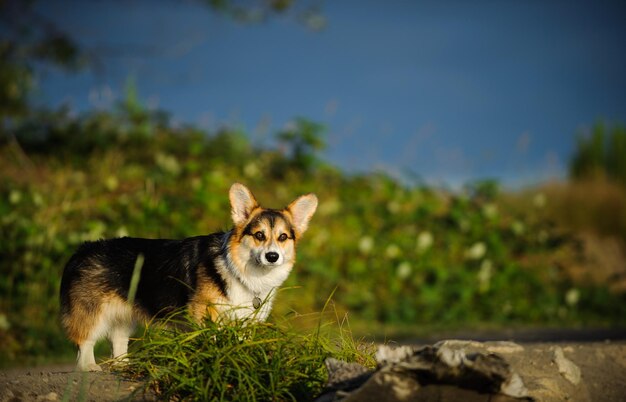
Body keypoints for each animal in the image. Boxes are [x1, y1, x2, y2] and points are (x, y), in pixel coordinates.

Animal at [59, 182, 316, 370]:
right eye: (259, 235)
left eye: (283, 237)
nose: (272, 256)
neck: (244, 272)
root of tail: (82, 250)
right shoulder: (204, 313)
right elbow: (211, 339)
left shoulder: (246, 322)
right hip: (93, 312)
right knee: (85, 340)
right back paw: (90, 367)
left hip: (125, 314)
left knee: (118, 340)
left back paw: (123, 365)